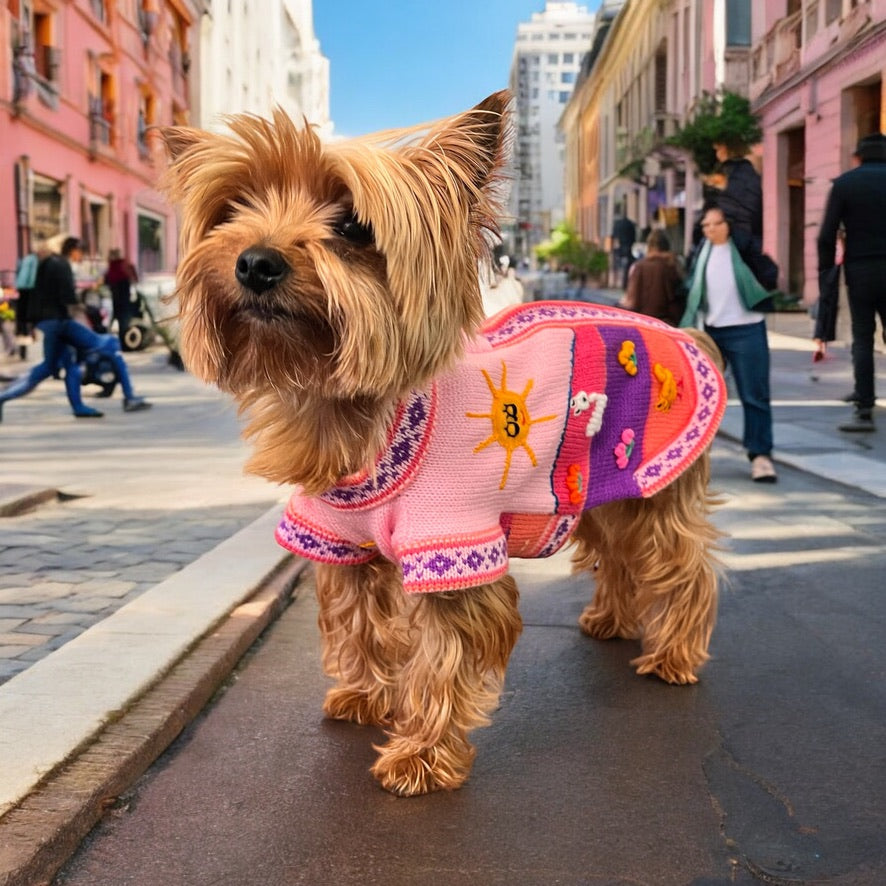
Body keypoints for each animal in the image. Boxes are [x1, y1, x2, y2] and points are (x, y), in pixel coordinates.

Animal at [163, 90, 724, 796]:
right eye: (233, 208)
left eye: (353, 226)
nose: (255, 262)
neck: (359, 415)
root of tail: (687, 335)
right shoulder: (338, 538)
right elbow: (357, 617)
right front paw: (365, 695)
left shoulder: (454, 544)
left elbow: (444, 653)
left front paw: (421, 757)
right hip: (592, 488)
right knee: (618, 553)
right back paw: (613, 620)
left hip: (654, 484)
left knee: (682, 565)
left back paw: (674, 654)